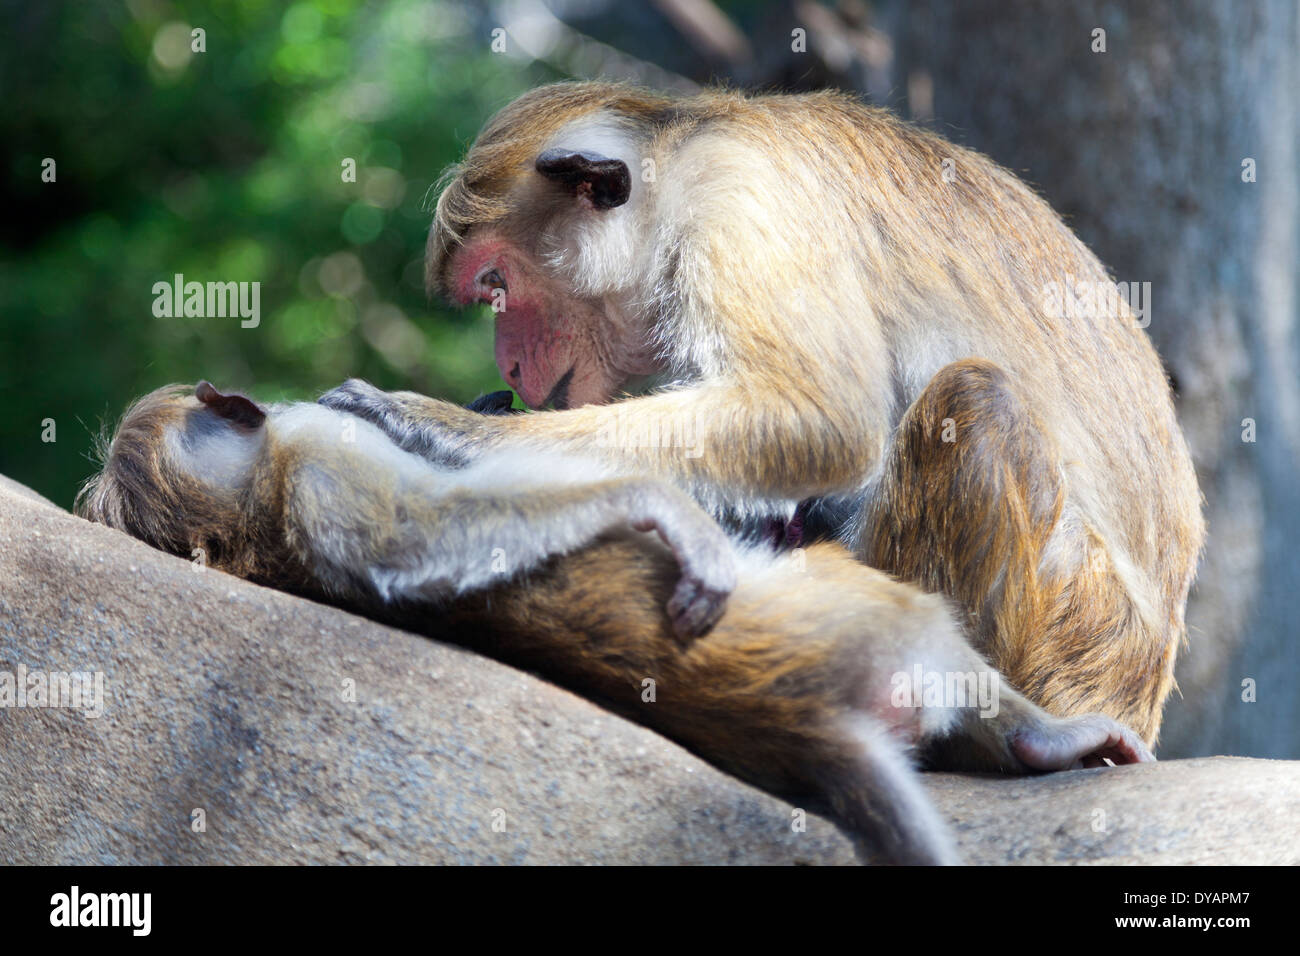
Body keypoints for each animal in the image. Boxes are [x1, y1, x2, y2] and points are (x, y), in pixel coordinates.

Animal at [77, 382, 1154, 865]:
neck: (258, 515)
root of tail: (809, 724)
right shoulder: (324, 464)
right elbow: (427, 530)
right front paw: (655, 504)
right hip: (866, 613)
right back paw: (1041, 738)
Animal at [318, 81, 1205, 747]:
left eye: (497, 284)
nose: (506, 362)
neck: (681, 154)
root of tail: (1140, 690)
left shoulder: (739, 200)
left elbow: (822, 418)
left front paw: (448, 431)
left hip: (1073, 630)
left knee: (974, 401)